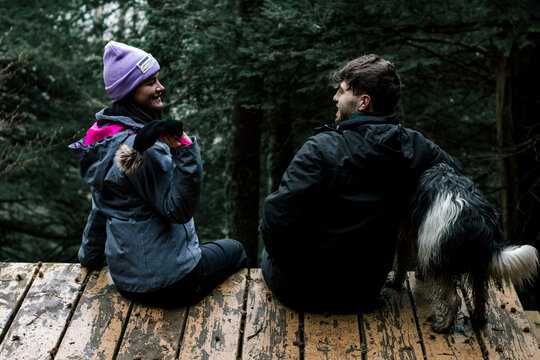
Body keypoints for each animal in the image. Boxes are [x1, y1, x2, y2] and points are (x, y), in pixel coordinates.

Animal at [390, 162, 536, 332]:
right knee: (481, 295)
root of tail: (483, 228)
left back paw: (444, 326)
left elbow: (401, 260)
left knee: (454, 300)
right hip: (477, 265)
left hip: (441, 260)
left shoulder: (407, 228)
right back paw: (478, 319)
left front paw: (395, 283)